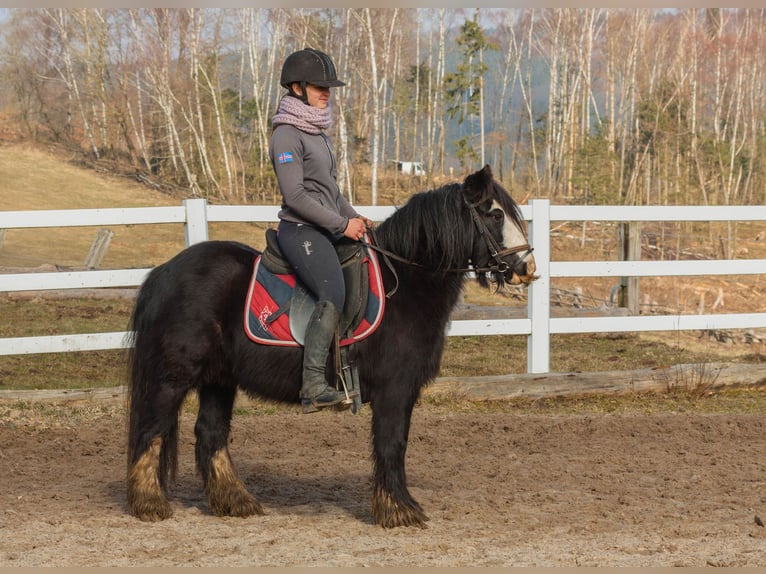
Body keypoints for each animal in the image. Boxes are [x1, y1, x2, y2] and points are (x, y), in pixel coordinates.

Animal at [127, 164, 540, 528]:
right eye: (495, 214)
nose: (528, 269)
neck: (406, 283)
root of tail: (164, 271)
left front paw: (397, 506)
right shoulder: (394, 390)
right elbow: (392, 444)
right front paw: (398, 511)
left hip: (219, 379)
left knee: (210, 433)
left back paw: (237, 502)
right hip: (173, 376)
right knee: (153, 428)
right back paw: (149, 504)